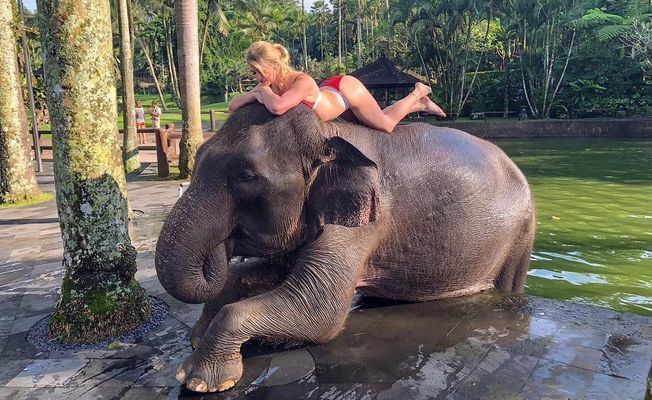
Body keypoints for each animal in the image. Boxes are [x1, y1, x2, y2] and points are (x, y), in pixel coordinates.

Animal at [155, 103, 535, 393]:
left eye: (245, 176)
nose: (222, 243)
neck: (329, 132)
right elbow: (267, 274)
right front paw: (197, 340)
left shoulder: (365, 222)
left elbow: (319, 310)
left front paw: (199, 380)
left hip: (520, 236)